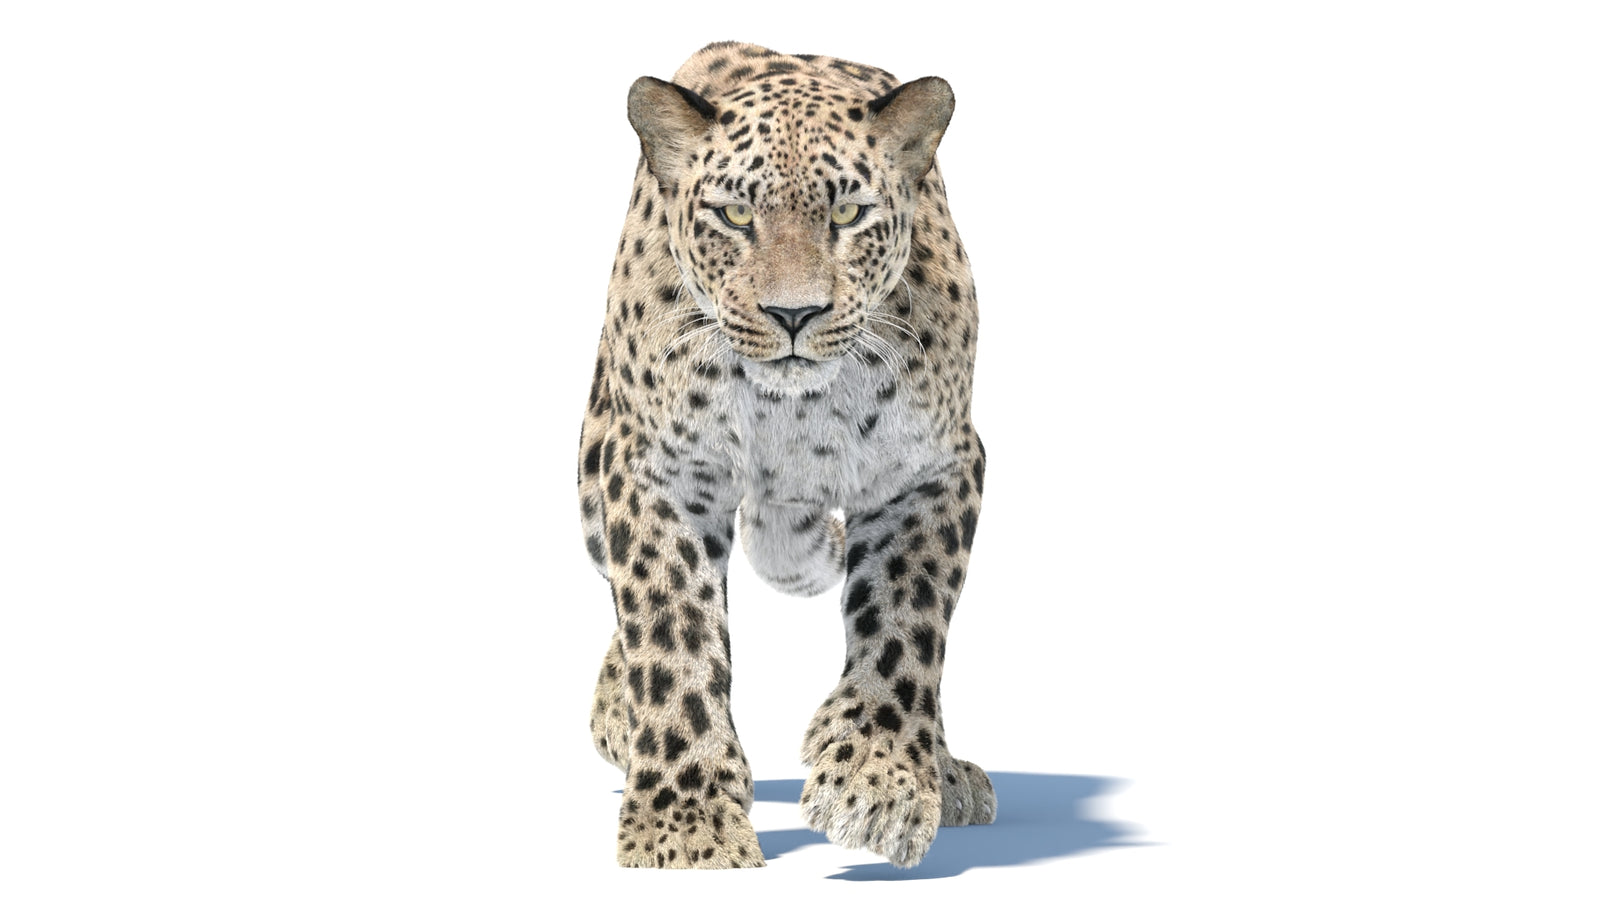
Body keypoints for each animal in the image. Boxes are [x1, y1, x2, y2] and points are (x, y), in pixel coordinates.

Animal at [578, 42, 994, 869]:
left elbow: (907, 620)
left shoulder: (934, 468)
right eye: (736, 215)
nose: (794, 314)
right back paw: (617, 712)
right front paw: (685, 825)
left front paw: (879, 780)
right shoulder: (658, 472)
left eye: (849, 214)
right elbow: (669, 632)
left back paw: (945, 772)